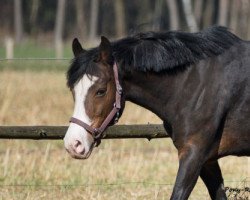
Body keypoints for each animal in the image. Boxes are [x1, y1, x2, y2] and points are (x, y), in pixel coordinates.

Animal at [63, 26, 249, 198]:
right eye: (73, 90)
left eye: (101, 91)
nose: (73, 144)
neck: (197, 84)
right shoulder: (208, 161)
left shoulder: (193, 154)